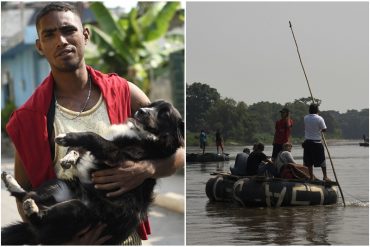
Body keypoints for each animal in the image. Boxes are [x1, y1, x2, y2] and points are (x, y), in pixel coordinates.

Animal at [1, 100, 184, 245]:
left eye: (164, 114)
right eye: (151, 105)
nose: (140, 111)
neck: (145, 135)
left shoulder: (116, 155)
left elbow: (93, 136)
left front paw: (68, 138)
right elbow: (83, 147)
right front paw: (69, 156)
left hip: (79, 211)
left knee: (37, 215)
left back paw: (32, 209)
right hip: (59, 186)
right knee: (27, 194)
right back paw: (11, 182)